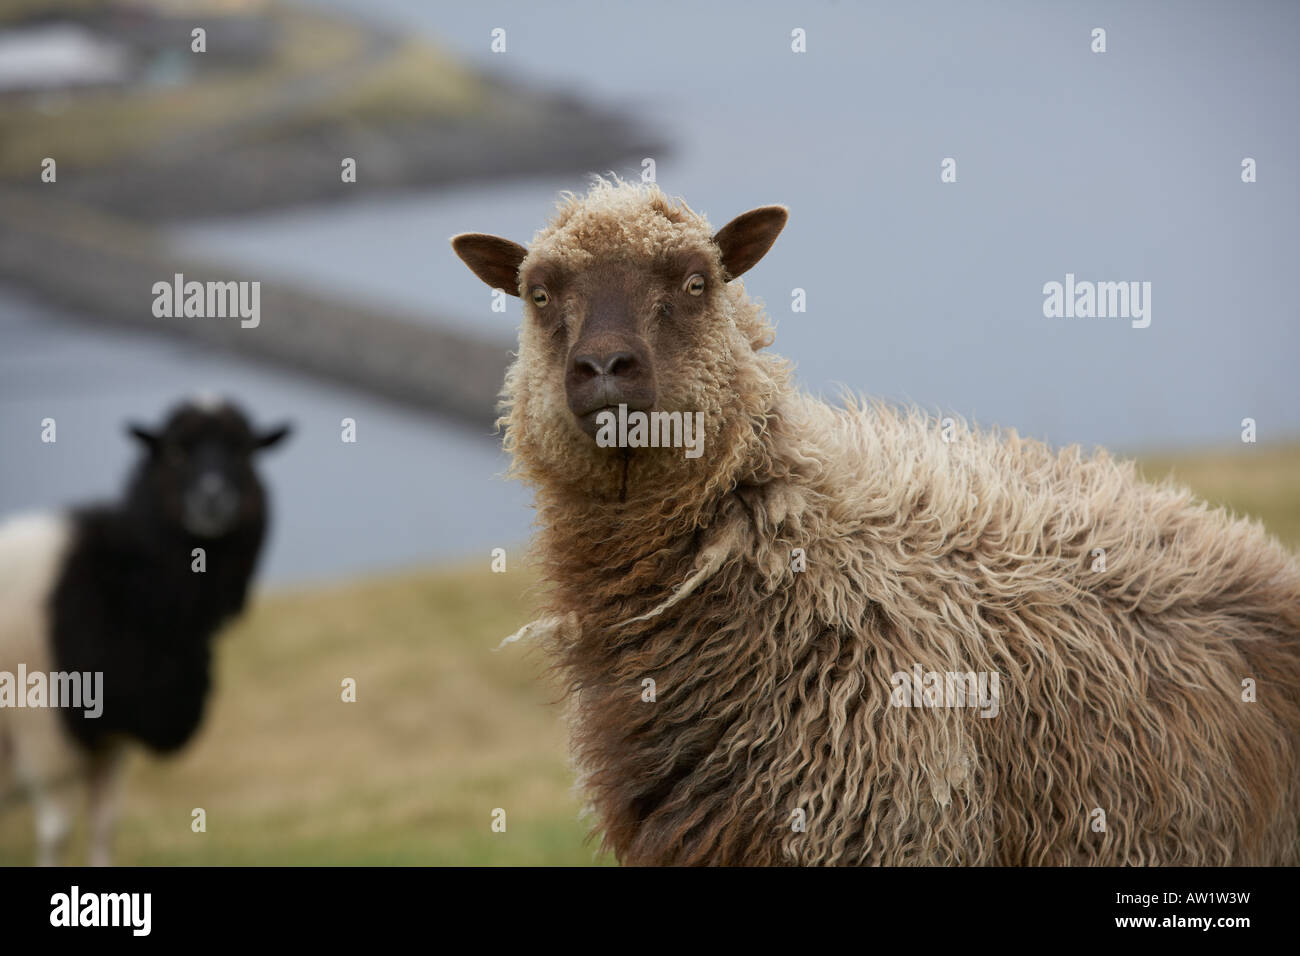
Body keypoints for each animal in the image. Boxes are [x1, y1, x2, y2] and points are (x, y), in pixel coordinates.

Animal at [0, 398, 289, 868]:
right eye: (175, 451)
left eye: (245, 451)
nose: (213, 498)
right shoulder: (46, 737)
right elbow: (56, 834)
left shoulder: (110, 738)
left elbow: (105, 826)